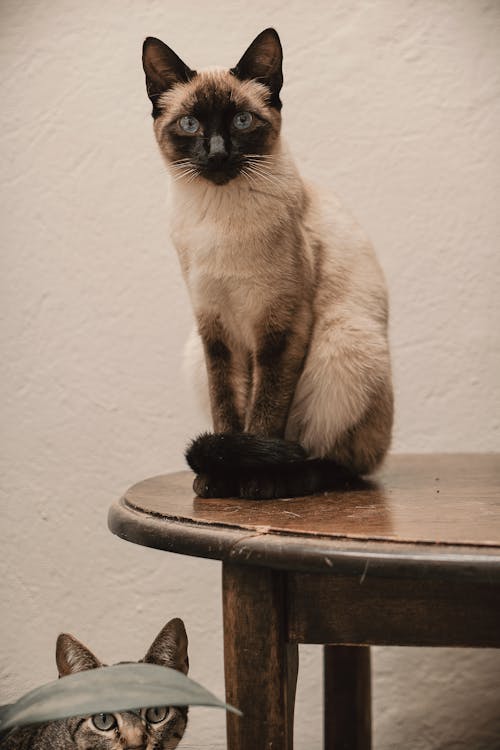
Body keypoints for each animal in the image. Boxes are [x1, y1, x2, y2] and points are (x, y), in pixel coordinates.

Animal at [143, 27, 392, 500]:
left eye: (241, 121)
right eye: (190, 124)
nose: (217, 154)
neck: (218, 219)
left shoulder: (280, 323)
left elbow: (263, 413)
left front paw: (250, 479)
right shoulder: (215, 328)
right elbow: (227, 410)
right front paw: (218, 480)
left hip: (345, 341)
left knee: (344, 464)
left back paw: (283, 479)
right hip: (196, 351)